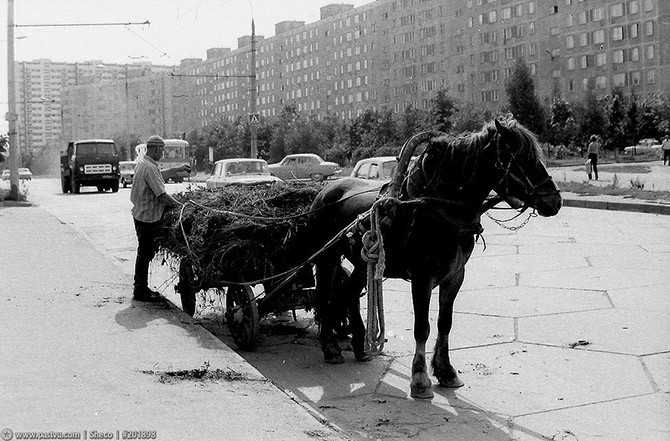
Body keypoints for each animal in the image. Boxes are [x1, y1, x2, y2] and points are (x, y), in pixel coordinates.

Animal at [304, 117, 560, 398]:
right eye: (522, 158)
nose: (555, 200)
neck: (438, 209)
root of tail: (326, 188)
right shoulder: (422, 278)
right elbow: (422, 327)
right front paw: (419, 378)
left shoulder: (455, 276)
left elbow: (444, 323)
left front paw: (446, 371)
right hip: (327, 258)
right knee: (324, 295)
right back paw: (330, 347)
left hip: (364, 264)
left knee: (348, 293)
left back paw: (361, 345)